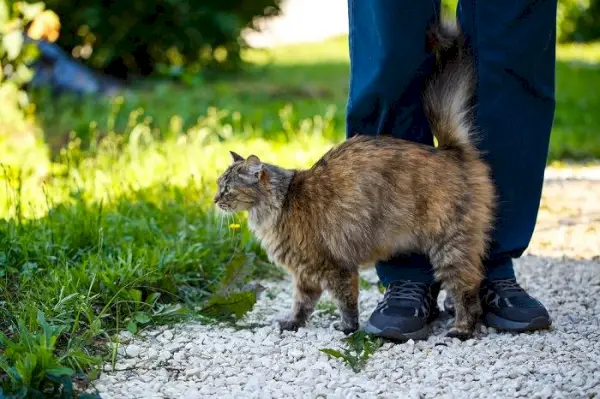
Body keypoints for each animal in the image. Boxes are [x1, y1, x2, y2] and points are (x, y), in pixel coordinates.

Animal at [213, 17, 494, 340]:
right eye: (218, 187)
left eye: (227, 190)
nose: (214, 200)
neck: (279, 205)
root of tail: (449, 150)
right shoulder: (305, 274)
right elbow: (302, 304)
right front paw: (292, 323)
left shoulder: (335, 266)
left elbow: (345, 301)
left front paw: (348, 328)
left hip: (450, 245)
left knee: (467, 288)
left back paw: (462, 329)